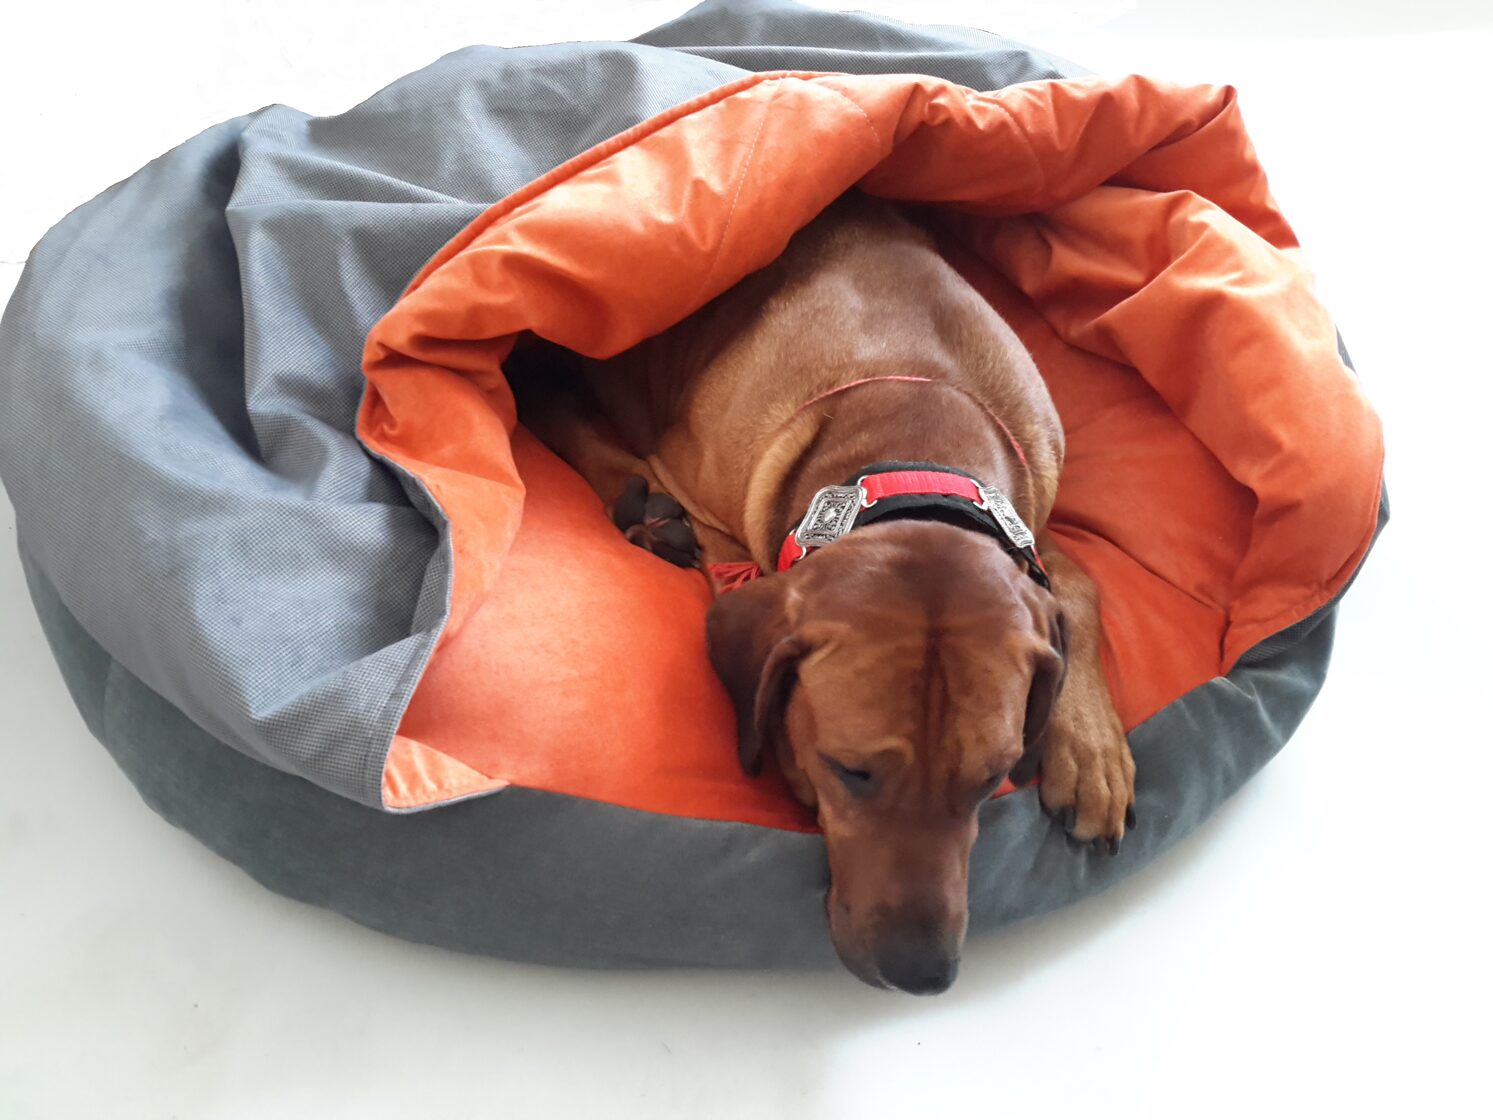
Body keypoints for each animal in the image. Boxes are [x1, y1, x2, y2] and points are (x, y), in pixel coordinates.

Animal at [509, 192, 1135, 994]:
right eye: (850, 772)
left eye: (992, 779)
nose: (922, 973)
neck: (914, 440)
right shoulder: (708, 501)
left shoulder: (1026, 528)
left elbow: (1080, 587)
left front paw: (1092, 751)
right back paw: (638, 503)